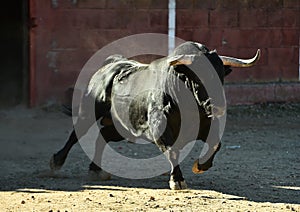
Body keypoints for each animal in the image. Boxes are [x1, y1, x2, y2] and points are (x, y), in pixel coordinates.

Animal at [49, 41, 260, 189]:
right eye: (197, 77)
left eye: (221, 75)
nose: (217, 107)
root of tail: (111, 65)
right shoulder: (160, 130)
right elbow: (172, 151)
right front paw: (177, 180)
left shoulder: (206, 126)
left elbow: (216, 143)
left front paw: (200, 166)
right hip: (88, 112)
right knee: (76, 134)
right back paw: (57, 162)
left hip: (124, 129)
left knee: (103, 136)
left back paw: (96, 170)